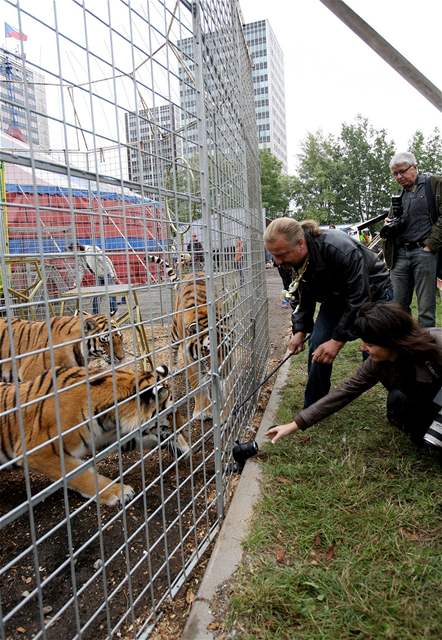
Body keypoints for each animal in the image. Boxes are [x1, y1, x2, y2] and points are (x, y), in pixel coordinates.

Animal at [0, 364, 188, 504]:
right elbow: (82, 475)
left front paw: (183, 446)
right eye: (170, 414)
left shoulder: (107, 437)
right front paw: (119, 492)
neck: (112, 418)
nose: (183, 425)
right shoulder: (40, 452)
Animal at [148, 255, 231, 420]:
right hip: (175, 332)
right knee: (173, 350)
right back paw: (173, 368)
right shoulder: (190, 359)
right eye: (207, 351)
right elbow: (198, 385)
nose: (224, 372)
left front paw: (223, 408)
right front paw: (202, 411)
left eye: (226, 348)